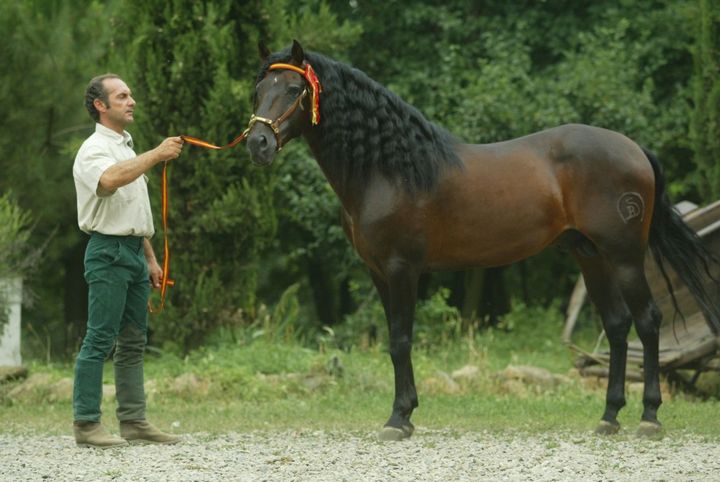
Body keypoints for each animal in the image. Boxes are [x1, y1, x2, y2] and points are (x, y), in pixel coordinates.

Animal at [246, 40, 720, 440]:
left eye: (294, 89)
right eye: (258, 90)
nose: (258, 143)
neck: (391, 171)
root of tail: (634, 149)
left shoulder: (402, 270)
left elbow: (401, 340)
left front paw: (399, 419)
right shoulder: (379, 273)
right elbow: (396, 341)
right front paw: (405, 414)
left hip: (624, 256)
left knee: (649, 321)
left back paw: (649, 417)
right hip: (591, 255)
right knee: (618, 325)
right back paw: (609, 417)